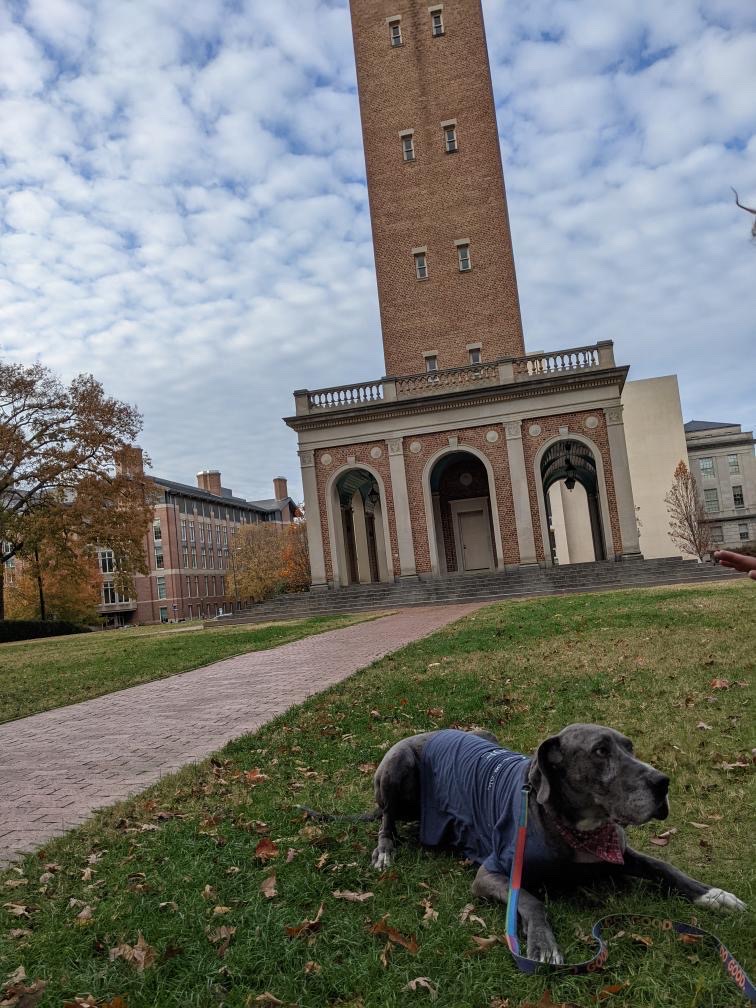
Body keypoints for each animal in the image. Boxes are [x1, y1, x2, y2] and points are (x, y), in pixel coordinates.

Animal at [366, 725, 745, 959]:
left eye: (629, 747)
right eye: (600, 751)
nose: (663, 782)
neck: (576, 827)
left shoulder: (621, 853)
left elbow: (663, 866)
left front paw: (713, 894)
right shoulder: (491, 873)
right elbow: (531, 900)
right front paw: (542, 943)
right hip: (397, 764)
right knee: (386, 817)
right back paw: (385, 850)